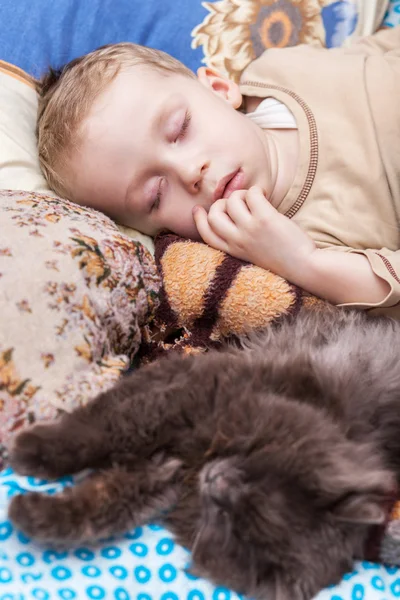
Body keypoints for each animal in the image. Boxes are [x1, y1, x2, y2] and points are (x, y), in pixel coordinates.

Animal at [7, 310, 400, 600]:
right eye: (255, 480)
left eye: (229, 520)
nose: (216, 480)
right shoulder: (194, 391)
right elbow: (105, 427)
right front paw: (32, 450)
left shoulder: (166, 474)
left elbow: (102, 506)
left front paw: (31, 514)